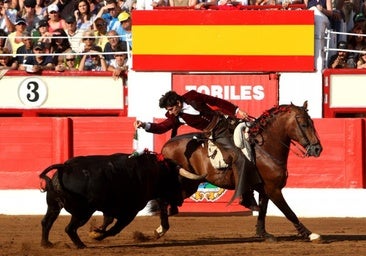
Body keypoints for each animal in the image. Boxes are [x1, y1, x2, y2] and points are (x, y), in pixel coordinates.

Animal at [40, 152, 183, 248]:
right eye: (176, 181)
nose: (180, 201)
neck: (155, 172)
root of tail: (65, 167)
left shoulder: (110, 208)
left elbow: (107, 221)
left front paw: (96, 231)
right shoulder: (131, 211)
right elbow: (115, 228)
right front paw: (97, 235)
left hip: (53, 206)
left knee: (46, 222)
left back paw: (46, 243)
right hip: (83, 212)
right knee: (69, 228)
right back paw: (81, 245)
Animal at [162, 101, 322, 241]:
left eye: (313, 123)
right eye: (304, 124)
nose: (317, 149)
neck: (264, 149)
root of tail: (166, 146)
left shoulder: (265, 190)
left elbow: (263, 211)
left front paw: (263, 234)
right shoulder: (273, 190)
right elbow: (289, 212)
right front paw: (310, 235)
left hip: (190, 184)